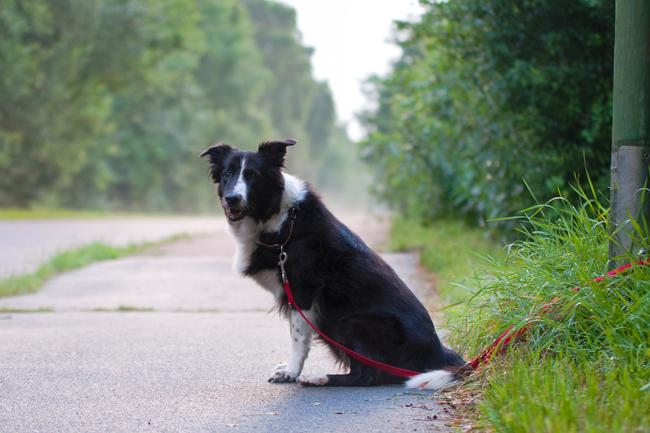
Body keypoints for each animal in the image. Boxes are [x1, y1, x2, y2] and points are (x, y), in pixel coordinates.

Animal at [200, 138, 464, 388]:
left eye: (253, 175)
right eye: (227, 174)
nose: (232, 199)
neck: (280, 219)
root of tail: (439, 353)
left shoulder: (301, 290)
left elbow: (298, 337)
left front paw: (292, 372)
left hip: (351, 322)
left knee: (368, 376)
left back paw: (318, 379)